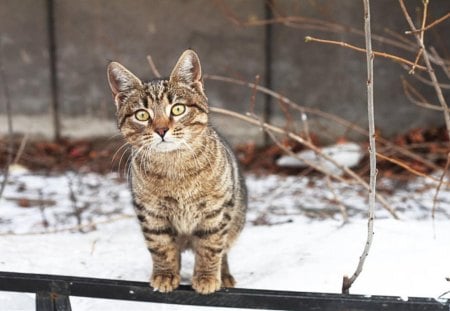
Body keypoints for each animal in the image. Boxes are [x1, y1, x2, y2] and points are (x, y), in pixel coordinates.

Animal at [107, 49, 248, 294]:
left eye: (178, 109)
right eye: (142, 115)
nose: (162, 130)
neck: (175, 168)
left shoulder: (216, 212)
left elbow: (210, 247)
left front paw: (207, 277)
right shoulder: (151, 214)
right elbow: (161, 247)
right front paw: (165, 275)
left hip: (235, 219)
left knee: (224, 250)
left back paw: (224, 275)